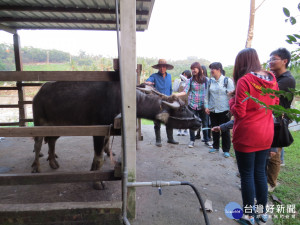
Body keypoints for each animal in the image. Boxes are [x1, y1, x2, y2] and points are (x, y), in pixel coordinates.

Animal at [31, 81, 202, 179]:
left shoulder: (108, 131)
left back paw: (53, 162)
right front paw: (97, 181)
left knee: (51, 141)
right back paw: (36, 167)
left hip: (58, 126)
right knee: (38, 143)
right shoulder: (98, 131)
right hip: (40, 123)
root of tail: (37, 94)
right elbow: (98, 158)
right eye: (183, 109)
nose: (199, 121)